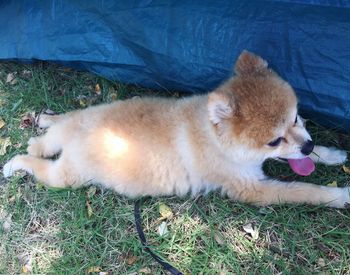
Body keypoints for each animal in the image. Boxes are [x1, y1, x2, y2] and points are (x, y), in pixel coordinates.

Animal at [3, 50, 350, 209]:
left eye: (297, 118)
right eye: (274, 141)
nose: (306, 146)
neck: (216, 139)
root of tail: (76, 135)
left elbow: (311, 162)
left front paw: (331, 155)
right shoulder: (252, 189)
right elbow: (304, 190)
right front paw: (339, 195)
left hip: (84, 118)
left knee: (59, 126)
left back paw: (47, 121)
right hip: (67, 177)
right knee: (37, 163)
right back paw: (15, 163)